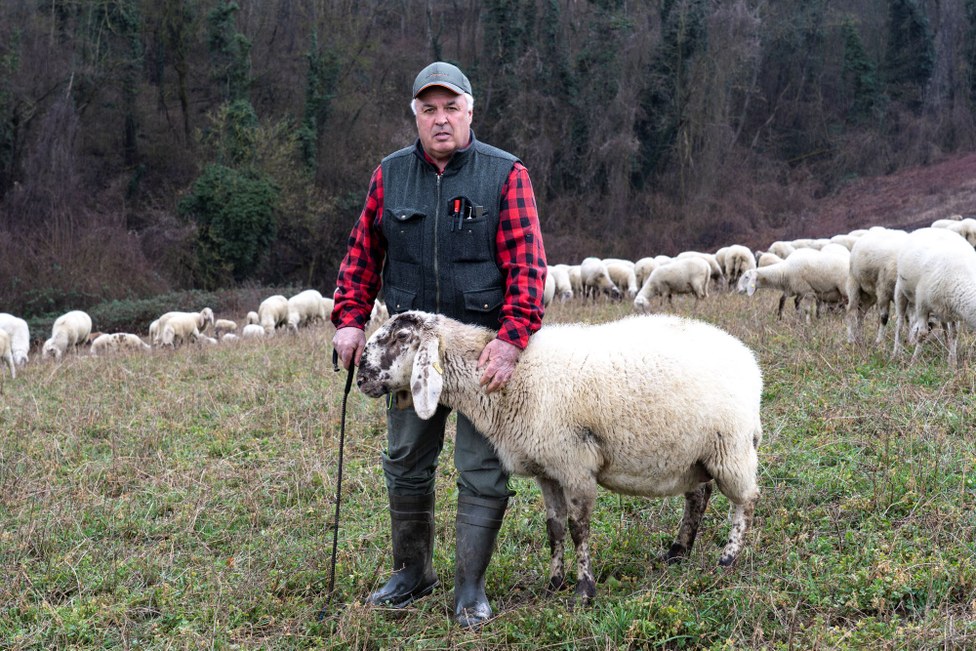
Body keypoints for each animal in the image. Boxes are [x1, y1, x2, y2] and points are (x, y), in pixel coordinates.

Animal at [358, 314, 764, 604]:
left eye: (400, 337)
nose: (360, 377)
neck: (513, 379)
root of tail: (748, 359)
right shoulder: (548, 470)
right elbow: (554, 528)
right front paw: (554, 583)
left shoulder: (575, 466)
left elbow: (578, 529)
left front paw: (584, 590)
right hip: (695, 454)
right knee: (698, 496)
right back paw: (678, 551)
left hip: (732, 447)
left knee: (746, 500)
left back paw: (727, 559)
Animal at [892, 228, 976, 366]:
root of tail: (926, 229)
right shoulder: (922, 306)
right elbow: (922, 334)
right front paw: (913, 362)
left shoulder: (953, 311)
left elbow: (954, 334)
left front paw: (952, 362)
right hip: (900, 290)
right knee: (899, 323)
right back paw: (895, 353)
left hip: (942, 309)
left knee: (945, 327)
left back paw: (947, 348)